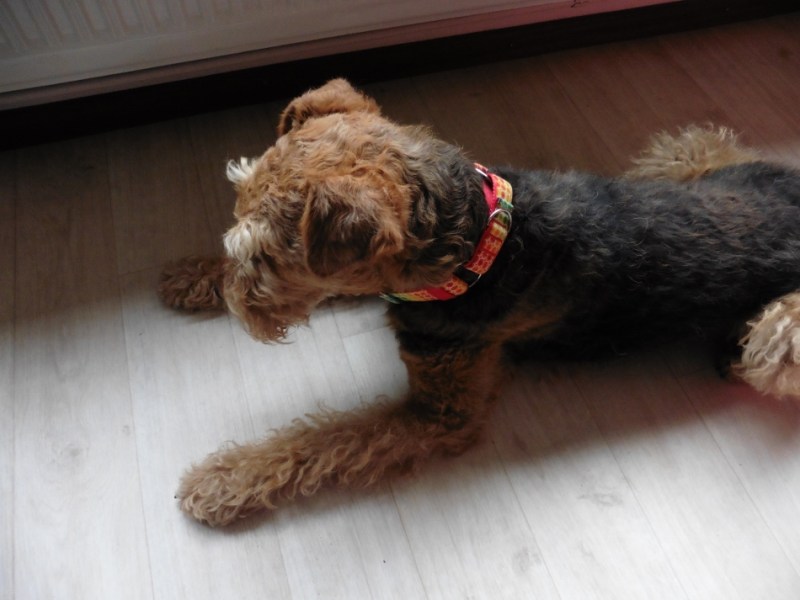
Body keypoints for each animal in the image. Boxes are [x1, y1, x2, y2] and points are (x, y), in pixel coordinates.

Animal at [159, 78, 800, 526]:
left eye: (266, 257)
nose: (241, 307)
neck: (477, 242)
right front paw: (190, 277)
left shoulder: (441, 412)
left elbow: (321, 440)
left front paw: (218, 481)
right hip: (686, 157)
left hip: (780, 334)